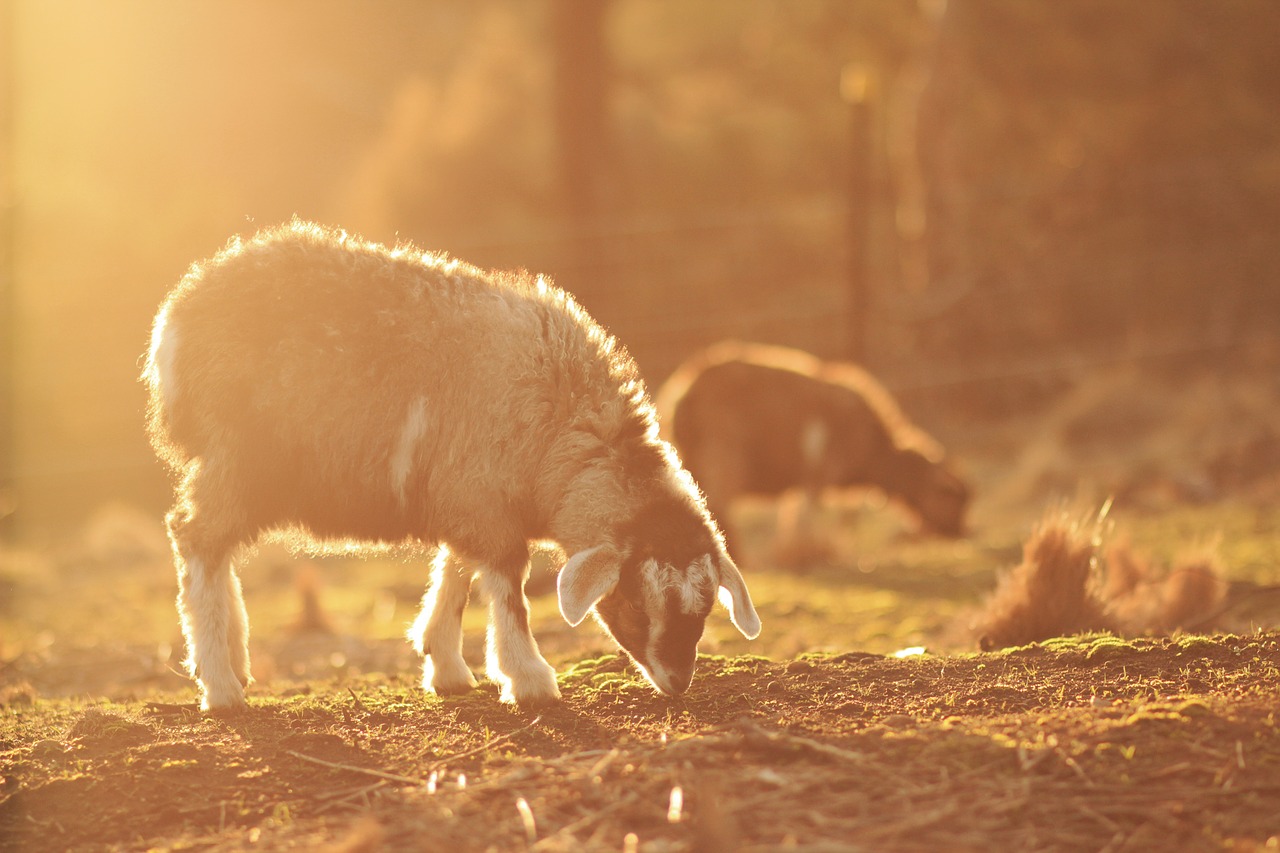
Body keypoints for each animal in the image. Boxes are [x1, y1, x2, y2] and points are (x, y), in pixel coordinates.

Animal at [142, 220, 757, 712]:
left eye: (706, 607)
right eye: (634, 601)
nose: (678, 682)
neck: (563, 436)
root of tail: (176, 320)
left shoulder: (469, 498)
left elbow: (456, 573)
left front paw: (444, 664)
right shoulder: (486, 500)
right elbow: (508, 589)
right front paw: (529, 679)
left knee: (214, 548)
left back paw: (233, 660)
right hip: (244, 458)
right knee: (195, 539)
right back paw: (220, 685)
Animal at [660, 343, 967, 555]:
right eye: (951, 499)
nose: (961, 533)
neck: (876, 451)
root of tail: (686, 392)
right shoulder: (819, 474)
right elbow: (812, 516)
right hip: (722, 454)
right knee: (719, 502)